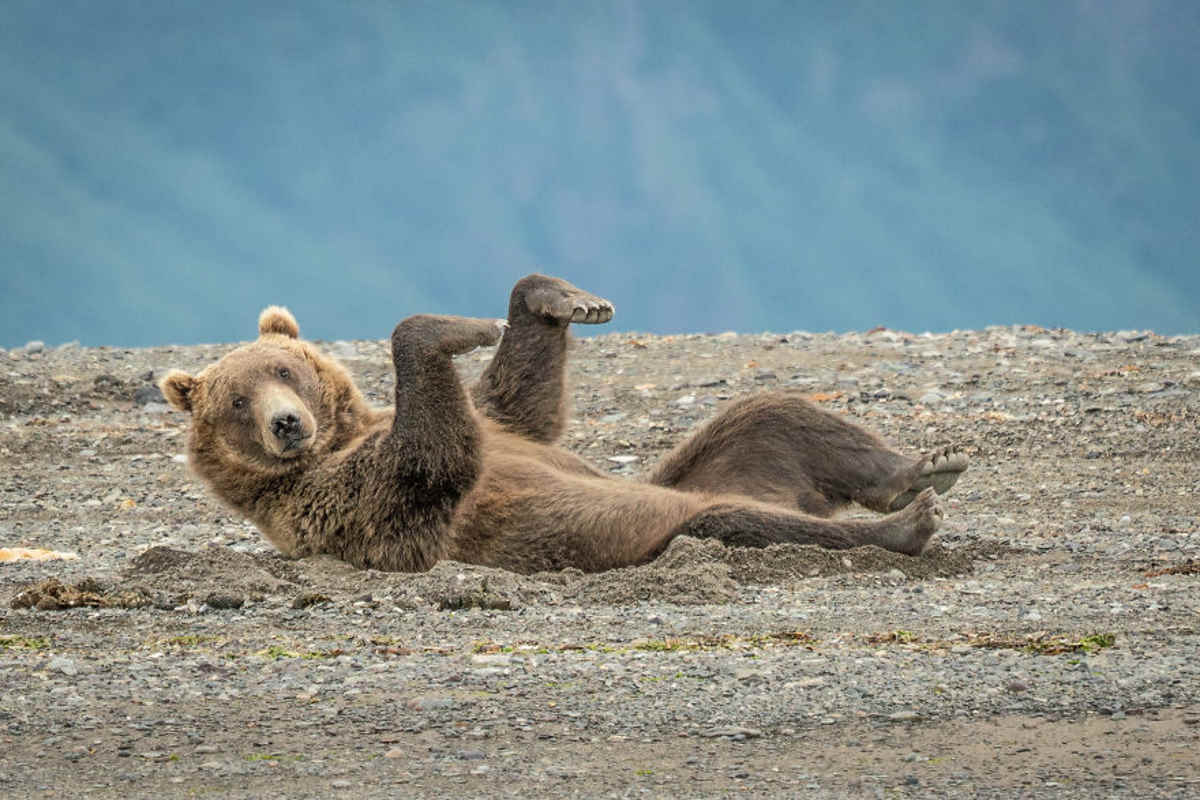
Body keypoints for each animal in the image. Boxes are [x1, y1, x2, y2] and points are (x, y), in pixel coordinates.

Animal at [160, 274, 968, 574]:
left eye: (284, 369)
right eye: (236, 401)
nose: (287, 425)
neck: (343, 436)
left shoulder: (500, 424)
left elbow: (520, 400)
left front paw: (566, 301)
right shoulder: (343, 501)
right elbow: (434, 458)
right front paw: (457, 326)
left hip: (722, 459)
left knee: (773, 415)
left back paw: (924, 469)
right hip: (652, 523)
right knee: (740, 519)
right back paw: (903, 524)